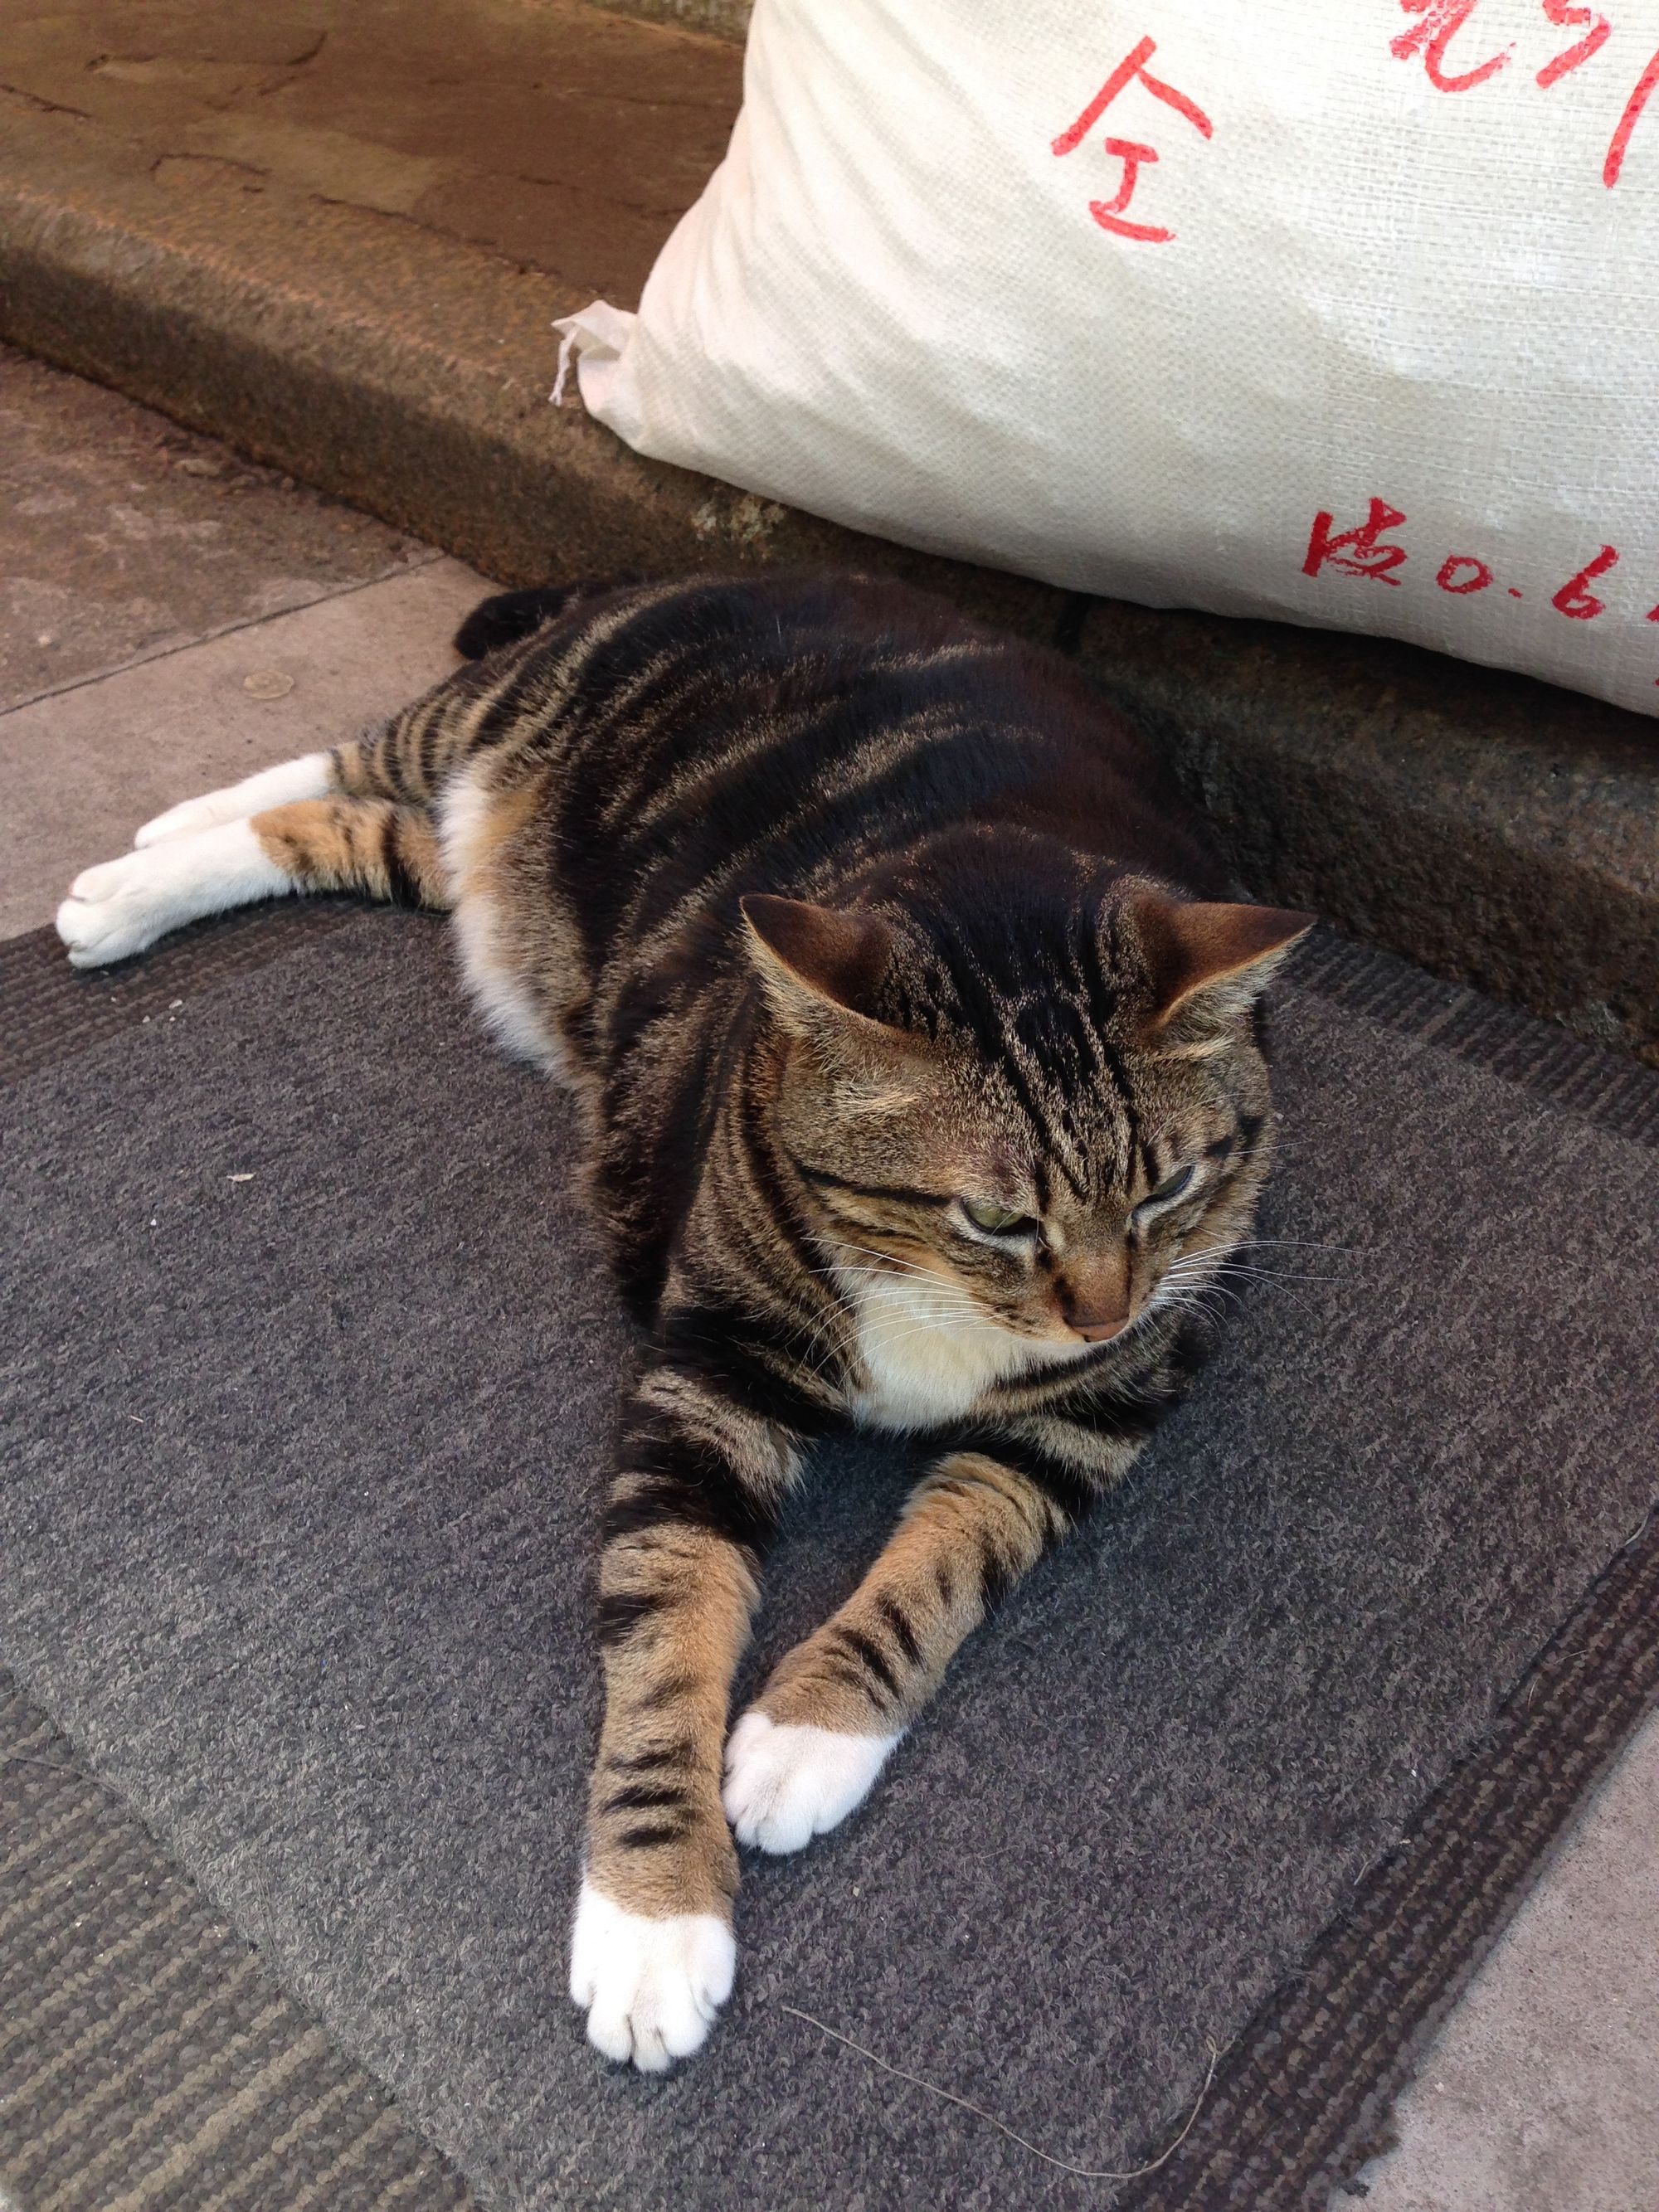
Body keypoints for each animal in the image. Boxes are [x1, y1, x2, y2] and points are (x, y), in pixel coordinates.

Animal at [55, 571, 1309, 2070]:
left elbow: (950, 1560)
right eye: (994, 1215)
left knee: (361, 831)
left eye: (1172, 1186)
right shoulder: (708, 1371)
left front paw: (807, 1734)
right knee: (355, 758)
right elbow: (669, 1626)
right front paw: (655, 1914)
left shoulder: (1102, 1407)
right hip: (527, 706)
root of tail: (761, 572)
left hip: (503, 878)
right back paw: (141, 862)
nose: (1098, 1308)